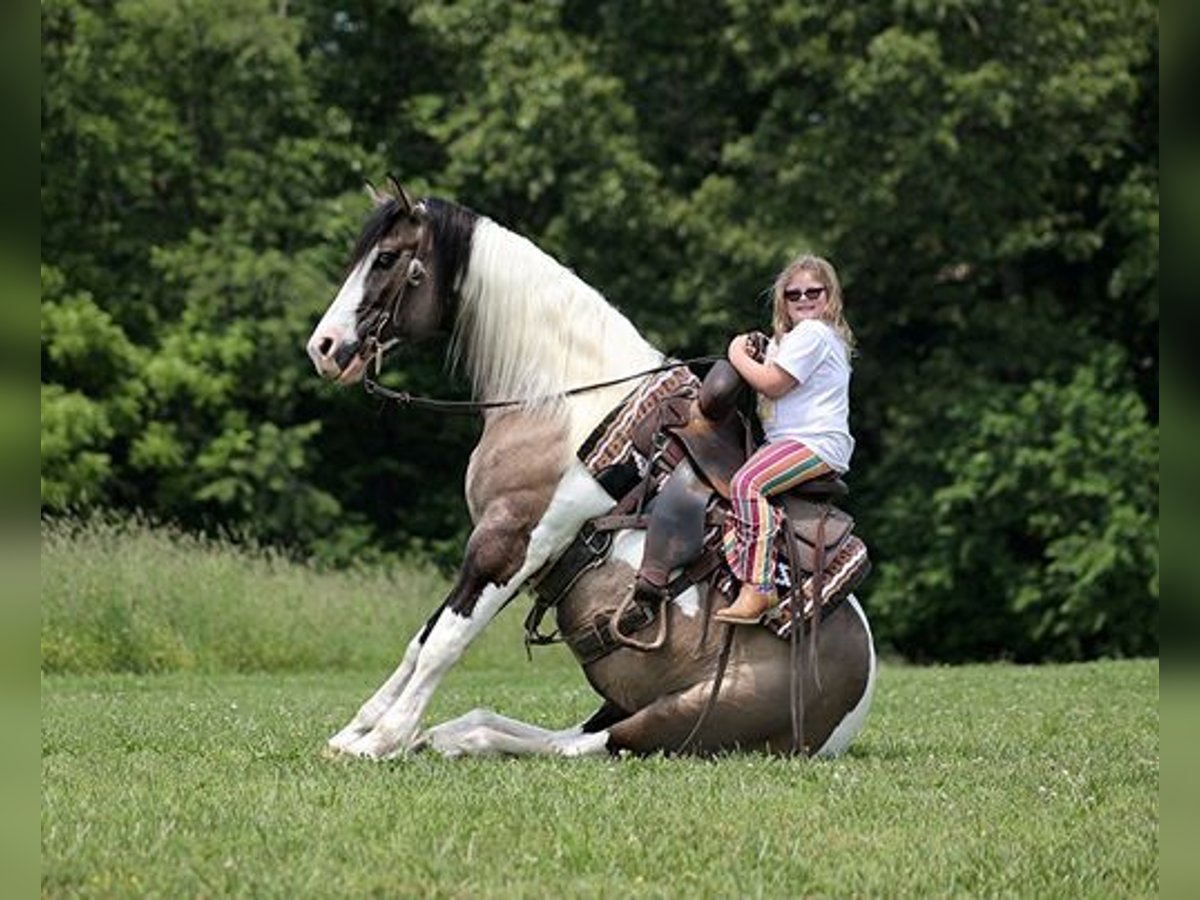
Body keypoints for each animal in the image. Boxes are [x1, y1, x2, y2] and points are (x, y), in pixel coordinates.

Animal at [304, 184, 878, 763]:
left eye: (386, 258)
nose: (323, 347)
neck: (561, 404)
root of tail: (857, 698)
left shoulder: (510, 539)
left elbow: (443, 642)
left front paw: (380, 741)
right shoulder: (499, 547)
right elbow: (421, 638)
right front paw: (355, 732)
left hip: (667, 724)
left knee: (577, 747)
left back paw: (450, 738)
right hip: (621, 705)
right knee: (541, 732)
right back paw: (452, 734)